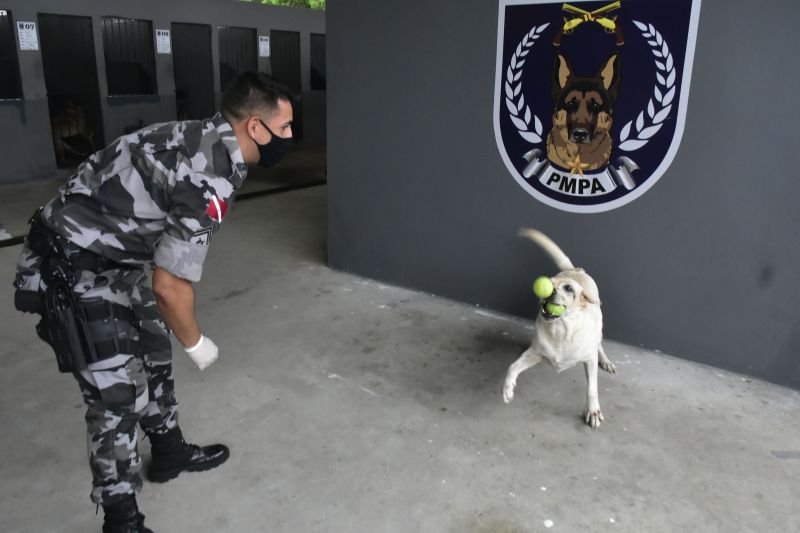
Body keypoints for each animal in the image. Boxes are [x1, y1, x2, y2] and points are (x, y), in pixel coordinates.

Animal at [500, 227, 620, 426]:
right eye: (549, 282)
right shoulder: (535, 354)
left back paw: (606, 360)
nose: (549, 292)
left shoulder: (589, 359)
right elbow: (512, 367)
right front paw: (508, 388)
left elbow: (592, 389)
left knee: (599, 345)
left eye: (569, 289)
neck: (562, 331)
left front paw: (593, 411)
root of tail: (575, 269)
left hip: (599, 329)